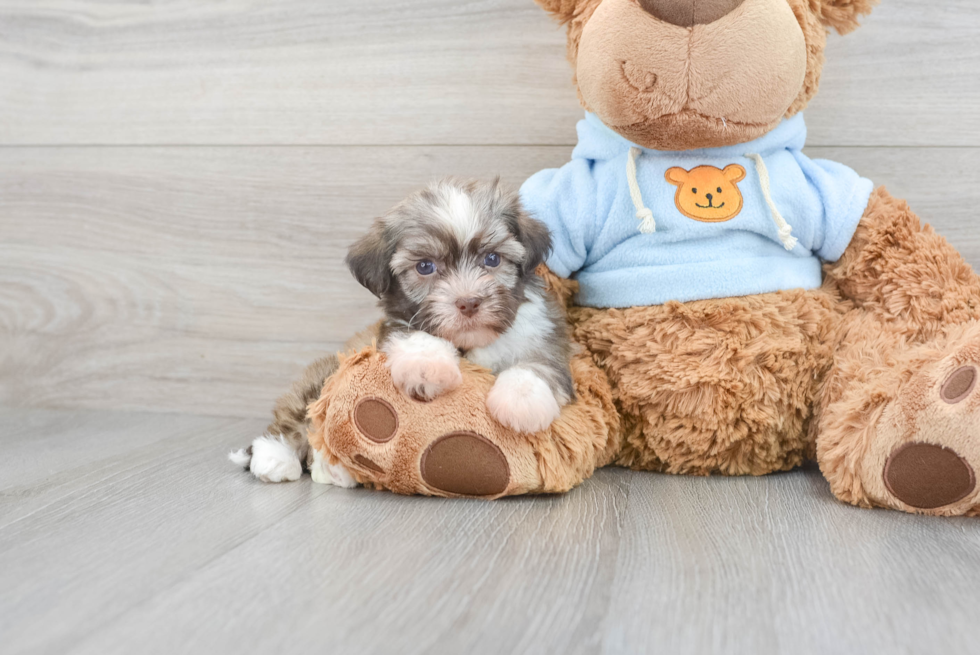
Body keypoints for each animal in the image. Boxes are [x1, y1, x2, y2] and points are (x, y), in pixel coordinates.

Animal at [230, 177, 576, 484]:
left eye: (492, 259)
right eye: (425, 266)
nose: (468, 303)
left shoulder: (543, 330)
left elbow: (539, 360)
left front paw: (521, 401)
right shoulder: (396, 325)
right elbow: (415, 338)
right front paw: (428, 367)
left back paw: (334, 470)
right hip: (321, 377)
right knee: (296, 418)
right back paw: (276, 458)